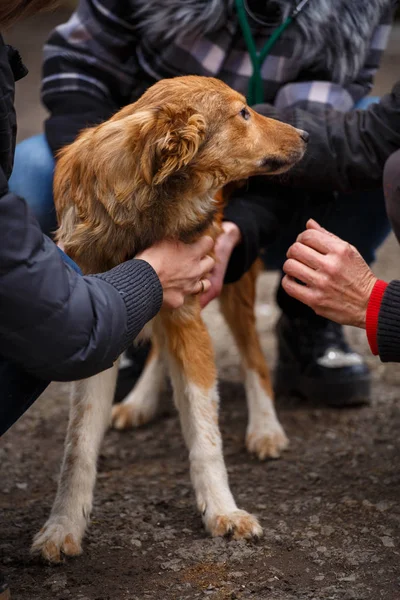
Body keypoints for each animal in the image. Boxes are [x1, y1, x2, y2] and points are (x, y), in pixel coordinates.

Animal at [32, 76, 306, 564]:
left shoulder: (188, 307)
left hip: (233, 274)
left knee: (254, 355)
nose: (308, 136)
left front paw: (223, 511)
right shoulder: (105, 315)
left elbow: (205, 433)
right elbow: (78, 444)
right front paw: (62, 525)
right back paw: (140, 401)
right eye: (243, 114)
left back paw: (265, 427)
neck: (148, 198)